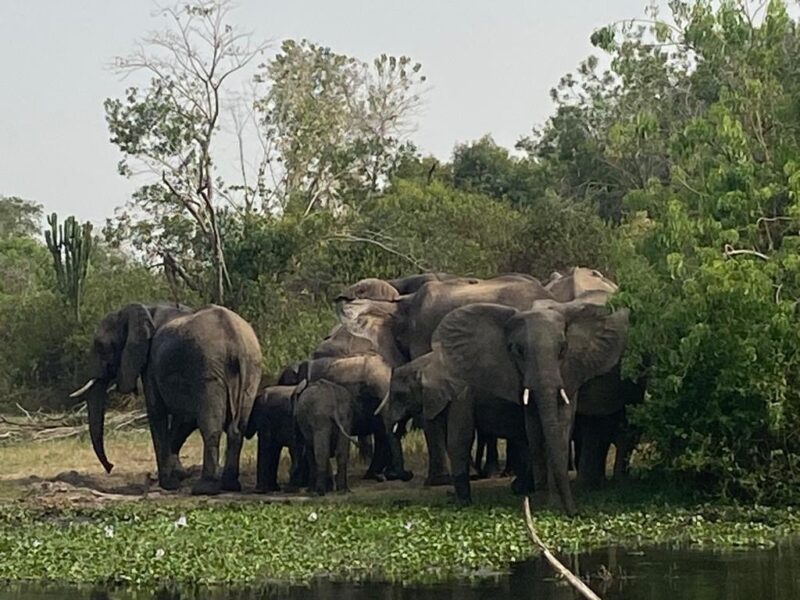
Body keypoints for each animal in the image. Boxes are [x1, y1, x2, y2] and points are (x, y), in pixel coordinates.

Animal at [71, 303, 262, 495]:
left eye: (101, 346)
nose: (111, 466)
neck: (145, 310)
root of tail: (236, 340)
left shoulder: (151, 365)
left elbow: (157, 412)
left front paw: (168, 484)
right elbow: (185, 419)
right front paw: (178, 475)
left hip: (209, 369)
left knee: (211, 427)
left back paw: (204, 488)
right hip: (252, 370)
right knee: (238, 427)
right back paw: (230, 485)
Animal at [430, 297, 629, 514]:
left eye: (563, 348)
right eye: (518, 351)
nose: (576, 513)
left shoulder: (572, 367)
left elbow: (561, 425)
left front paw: (552, 505)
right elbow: (534, 430)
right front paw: (544, 504)